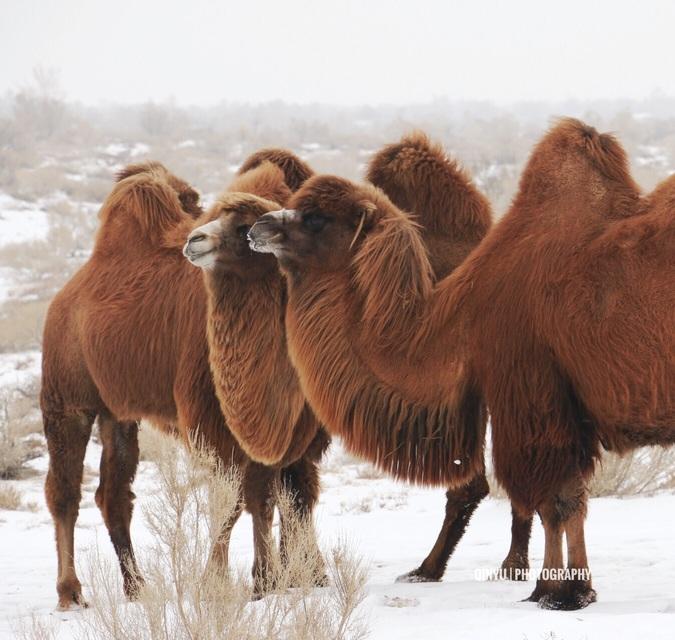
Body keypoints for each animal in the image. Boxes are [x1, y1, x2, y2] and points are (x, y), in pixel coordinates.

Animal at [42, 156, 328, 608]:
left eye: (247, 226)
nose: (197, 240)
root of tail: (67, 296)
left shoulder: (278, 427)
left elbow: (273, 494)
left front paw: (274, 579)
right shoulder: (215, 422)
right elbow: (234, 499)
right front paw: (219, 583)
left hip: (117, 411)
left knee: (113, 495)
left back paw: (136, 587)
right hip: (66, 399)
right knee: (65, 491)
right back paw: (71, 592)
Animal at [248, 120, 675, 608]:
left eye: (316, 217)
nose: (258, 226)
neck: (463, 313)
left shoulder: (531, 395)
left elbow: (555, 499)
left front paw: (555, 592)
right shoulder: (555, 407)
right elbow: (567, 499)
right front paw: (572, 588)